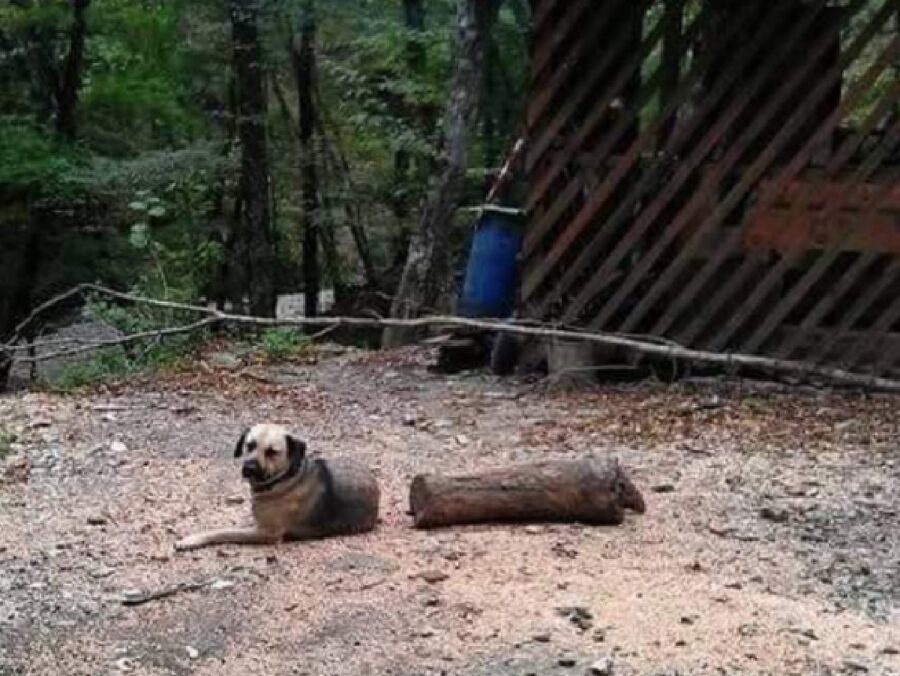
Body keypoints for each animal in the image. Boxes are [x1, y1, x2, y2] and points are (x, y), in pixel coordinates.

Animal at [175, 426, 380, 552]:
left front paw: (191, 539)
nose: (249, 468)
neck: (285, 479)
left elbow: (223, 532)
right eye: (250, 445)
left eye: (272, 452)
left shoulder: (267, 533)